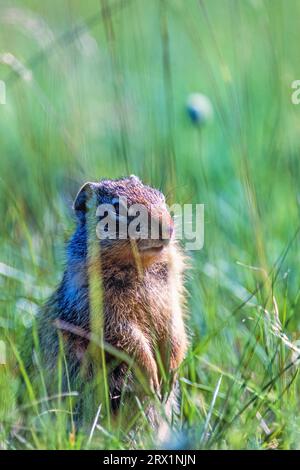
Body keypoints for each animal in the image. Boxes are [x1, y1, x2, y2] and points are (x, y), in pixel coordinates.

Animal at [37, 177, 188, 436]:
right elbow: (128, 339)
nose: (167, 228)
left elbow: (176, 330)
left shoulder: (171, 300)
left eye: (160, 196)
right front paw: (151, 377)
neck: (141, 268)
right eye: (116, 208)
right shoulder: (105, 312)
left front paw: (170, 373)